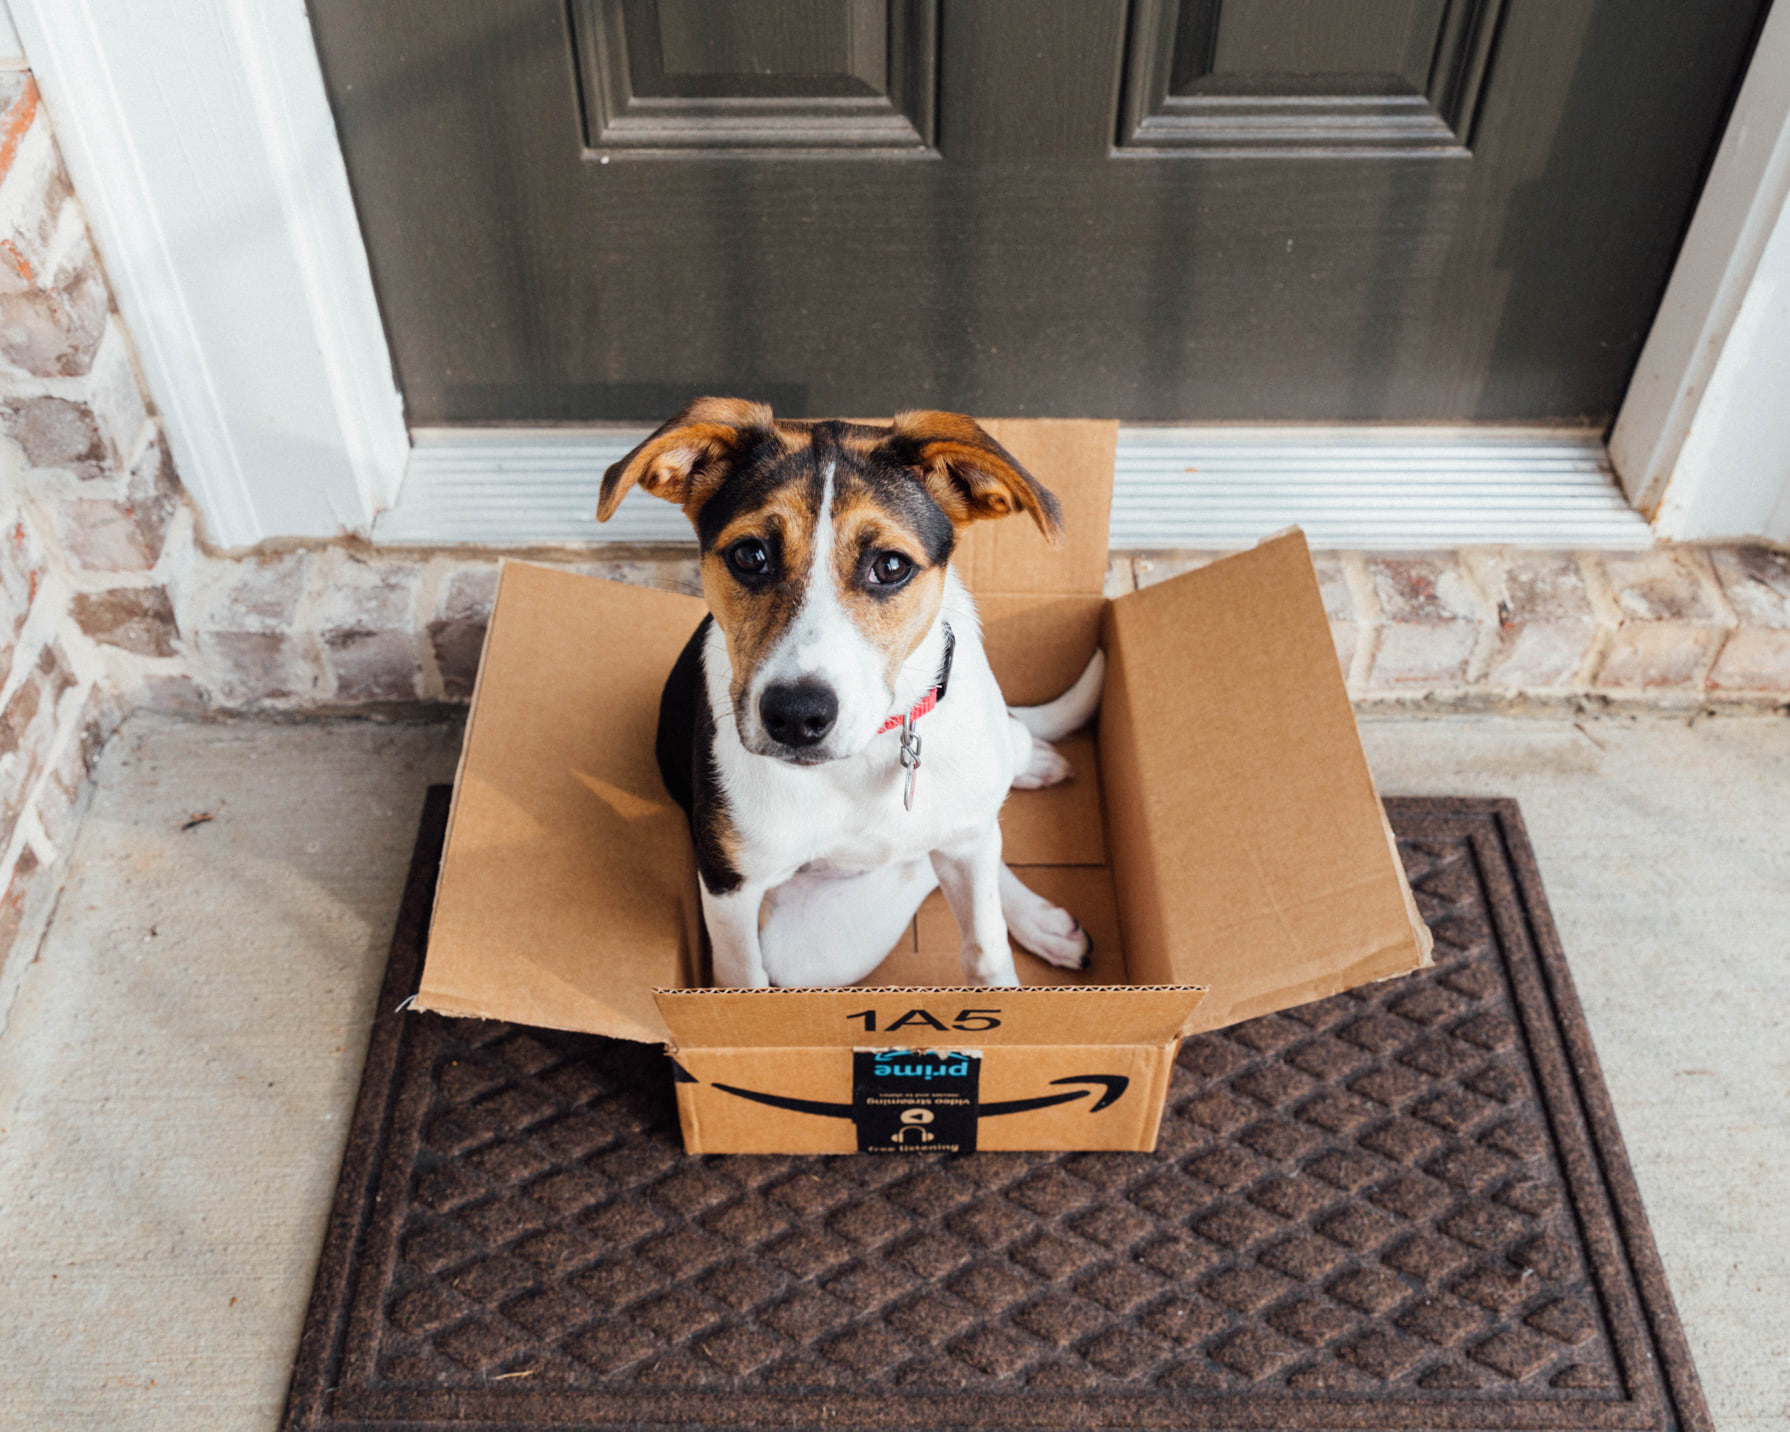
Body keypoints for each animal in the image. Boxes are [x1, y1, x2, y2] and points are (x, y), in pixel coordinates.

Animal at [601, 397, 1102, 988]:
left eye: (891, 565)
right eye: (749, 555)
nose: (796, 717)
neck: (868, 753)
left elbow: (986, 949)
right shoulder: (730, 886)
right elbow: (741, 976)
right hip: (821, 949)